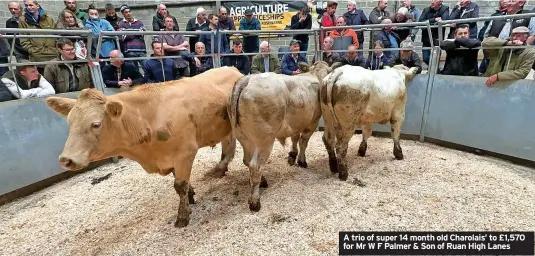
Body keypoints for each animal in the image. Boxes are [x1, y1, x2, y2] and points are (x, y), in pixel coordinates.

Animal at [45, 66, 244, 228]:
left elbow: (179, 185)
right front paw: (191, 196)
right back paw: (220, 168)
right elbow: (182, 183)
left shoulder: (185, 152)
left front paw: (182, 216)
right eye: (69, 122)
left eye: (95, 124)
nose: (66, 159)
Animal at [228, 61, 342, 211]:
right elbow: (303, 142)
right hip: (265, 141)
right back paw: (255, 202)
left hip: (243, 137)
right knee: (255, 166)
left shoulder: (297, 123)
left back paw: (262, 181)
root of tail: (246, 79)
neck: (315, 75)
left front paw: (292, 156)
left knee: (247, 161)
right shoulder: (312, 122)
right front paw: (302, 161)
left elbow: (295, 138)